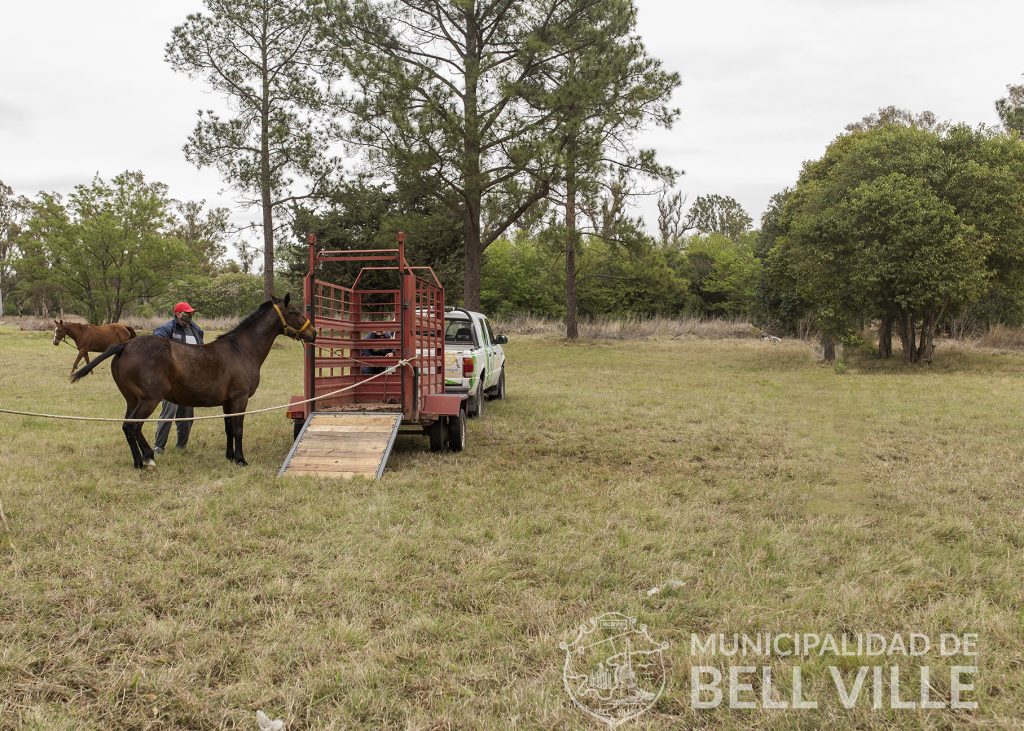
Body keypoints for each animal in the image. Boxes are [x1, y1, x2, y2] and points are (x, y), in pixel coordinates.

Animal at [71, 294, 316, 469]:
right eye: (294, 311)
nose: (313, 333)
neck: (242, 349)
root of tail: (125, 345)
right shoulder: (239, 400)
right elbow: (238, 430)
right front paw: (241, 460)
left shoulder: (227, 402)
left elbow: (228, 429)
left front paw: (229, 457)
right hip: (149, 400)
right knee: (133, 426)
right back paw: (148, 458)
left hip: (132, 400)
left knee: (127, 427)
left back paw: (138, 462)